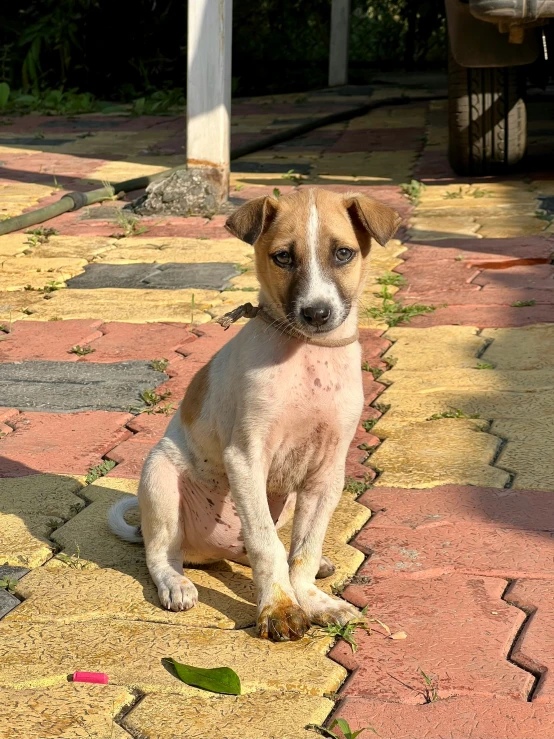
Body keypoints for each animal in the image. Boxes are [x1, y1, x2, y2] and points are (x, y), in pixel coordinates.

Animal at [106, 189, 396, 640]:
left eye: (344, 253)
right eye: (283, 257)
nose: (317, 314)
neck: (308, 355)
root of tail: (211, 548)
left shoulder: (327, 472)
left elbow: (304, 549)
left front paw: (312, 599)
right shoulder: (246, 457)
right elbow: (265, 544)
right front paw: (279, 607)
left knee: (261, 545)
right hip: (159, 479)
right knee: (162, 553)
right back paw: (176, 584)